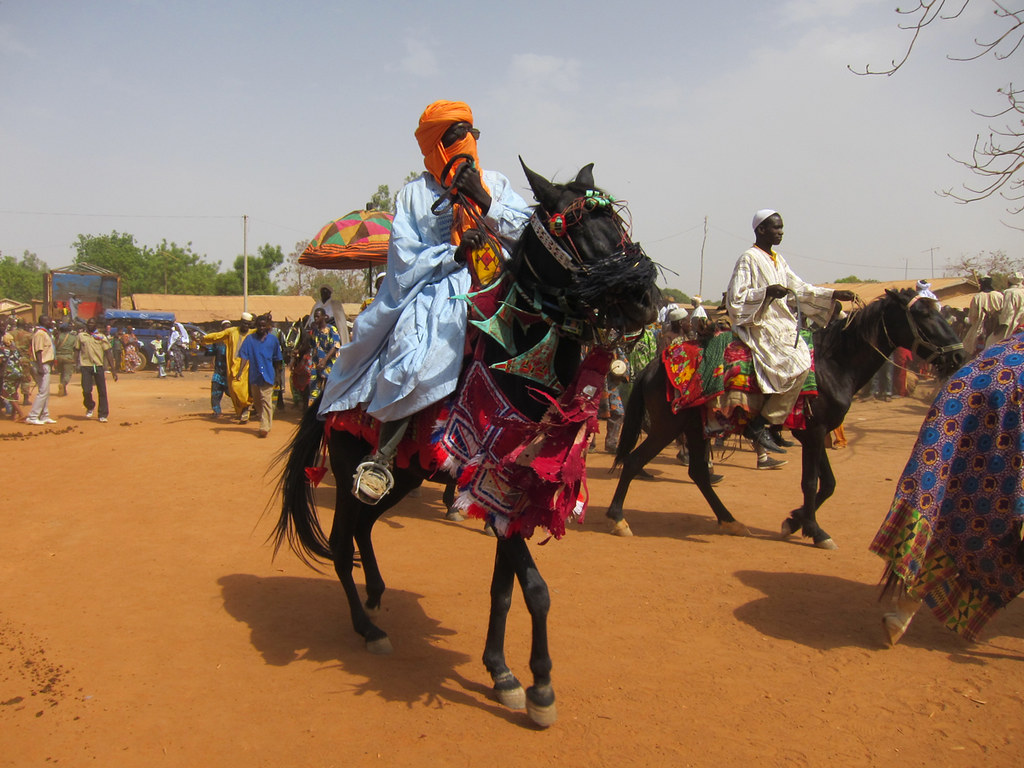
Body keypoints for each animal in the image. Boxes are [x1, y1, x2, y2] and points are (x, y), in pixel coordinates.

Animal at [274, 160, 655, 729]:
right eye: (578, 229)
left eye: (618, 224)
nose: (646, 300)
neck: (519, 367)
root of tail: (326, 393)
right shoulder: (488, 477)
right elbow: (536, 590)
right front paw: (540, 687)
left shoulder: (508, 492)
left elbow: (504, 591)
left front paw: (502, 672)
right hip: (346, 473)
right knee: (342, 544)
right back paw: (369, 628)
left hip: (406, 477)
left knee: (364, 530)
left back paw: (378, 593)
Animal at [606, 288, 966, 548]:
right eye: (922, 314)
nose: (959, 355)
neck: (835, 364)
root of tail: (653, 366)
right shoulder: (815, 431)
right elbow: (811, 482)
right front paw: (815, 531)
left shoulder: (814, 431)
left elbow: (828, 483)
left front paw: (796, 521)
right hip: (668, 426)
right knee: (635, 461)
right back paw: (618, 518)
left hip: (693, 427)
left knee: (697, 473)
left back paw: (730, 521)